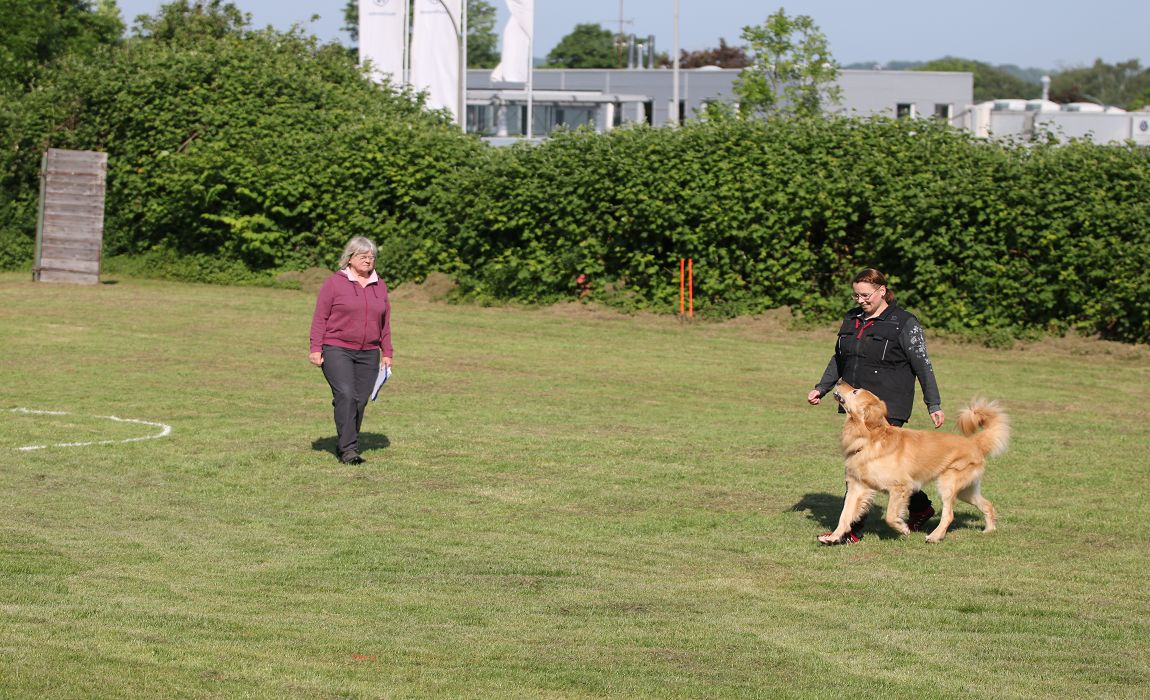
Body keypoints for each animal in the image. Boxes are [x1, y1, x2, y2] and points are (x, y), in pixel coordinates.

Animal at [818, 381, 1007, 540]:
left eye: (856, 391)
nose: (839, 380)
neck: (870, 439)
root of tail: (974, 442)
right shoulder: (856, 486)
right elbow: (845, 515)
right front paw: (833, 537)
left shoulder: (901, 486)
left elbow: (890, 516)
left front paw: (902, 528)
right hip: (966, 491)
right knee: (987, 505)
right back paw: (989, 530)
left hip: (947, 483)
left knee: (949, 514)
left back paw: (935, 536)